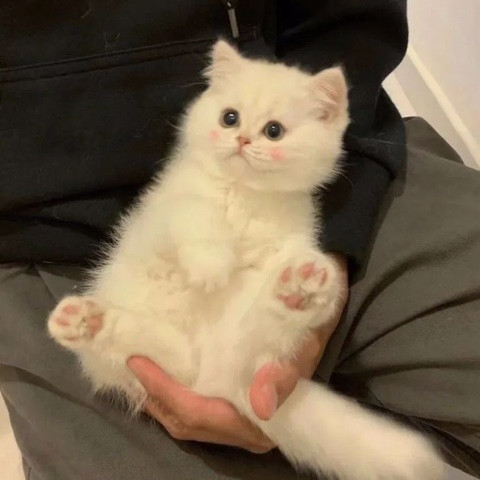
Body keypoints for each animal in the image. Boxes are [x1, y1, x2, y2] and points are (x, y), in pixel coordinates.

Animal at [48, 40, 444, 480]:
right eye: (229, 117)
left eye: (273, 130)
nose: (240, 140)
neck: (244, 196)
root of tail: (215, 381)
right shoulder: (166, 212)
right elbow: (199, 214)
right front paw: (209, 267)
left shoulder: (288, 239)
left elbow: (282, 256)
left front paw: (302, 278)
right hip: (149, 352)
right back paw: (86, 321)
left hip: (238, 352)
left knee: (251, 342)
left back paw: (299, 289)